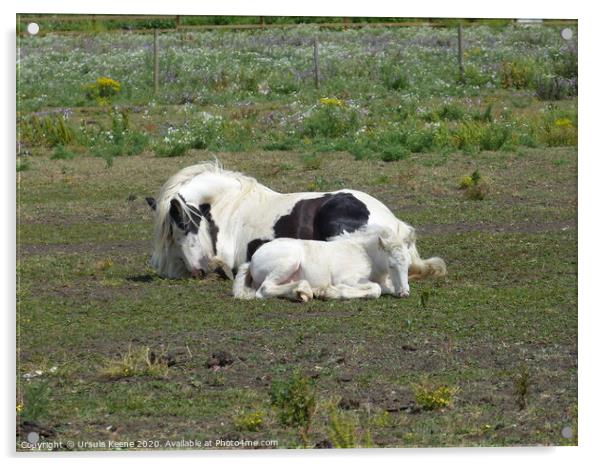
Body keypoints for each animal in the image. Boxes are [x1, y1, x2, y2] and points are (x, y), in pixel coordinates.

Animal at [232, 227, 410, 302]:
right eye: (391, 265)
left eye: (408, 265)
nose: (404, 293)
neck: (365, 254)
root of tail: (252, 259)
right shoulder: (347, 279)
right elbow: (375, 289)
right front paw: (330, 292)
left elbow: (384, 287)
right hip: (289, 260)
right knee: (264, 289)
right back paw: (306, 290)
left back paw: (302, 293)